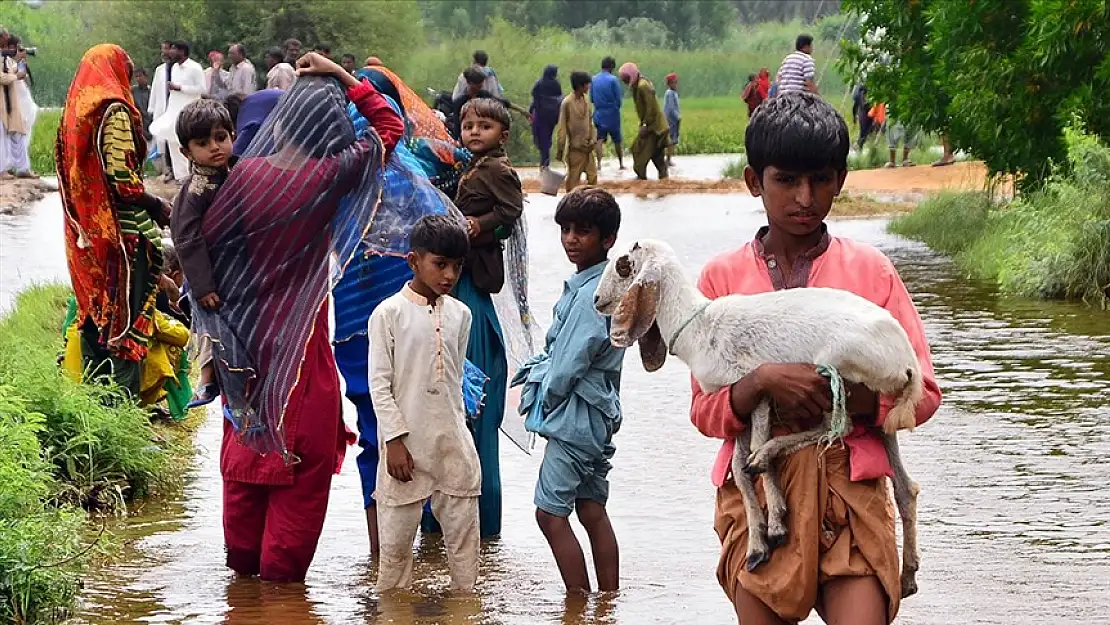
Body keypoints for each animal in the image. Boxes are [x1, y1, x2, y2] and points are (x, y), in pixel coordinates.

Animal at [594, 239, 923, 599]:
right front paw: (757, 545)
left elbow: (751, 453)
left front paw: (776, 524)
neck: (701, 326)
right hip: (880, 413)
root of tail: (907, 363)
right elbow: (738, 470)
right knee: (905, 485)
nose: (597, 301)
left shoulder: (761, 390)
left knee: (837, 427)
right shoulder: (738, 402)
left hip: (834, 370)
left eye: (623, 265)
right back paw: (908, 575)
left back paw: (768, 455)